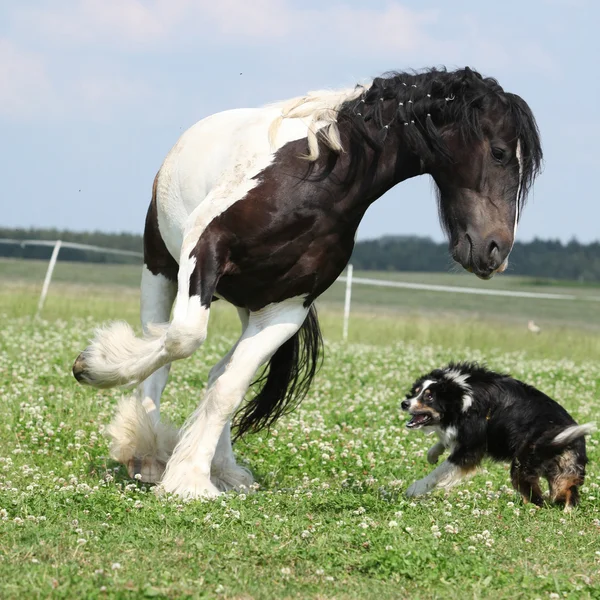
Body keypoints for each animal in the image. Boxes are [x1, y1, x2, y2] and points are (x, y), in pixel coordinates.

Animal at [71, 65, 544, 500]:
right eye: (500, 153)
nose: (495, 252)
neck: (315, 182)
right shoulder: (203, 252)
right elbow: (182, 338)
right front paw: (93, 366)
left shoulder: (285, 308)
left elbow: (229, 388)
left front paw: (192, 478)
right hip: (161, 267)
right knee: (162, 352)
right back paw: (147, 449)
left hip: (248, 304)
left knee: (218, 372)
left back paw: (223, 469)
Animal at [400, 360, 592, 510]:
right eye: (416, 392)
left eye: (429, 397)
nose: (404, 403)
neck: (460, 394)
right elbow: (445, 442)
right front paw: (433, 454)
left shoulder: (472, 445)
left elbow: (440, 471)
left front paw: (415, 488)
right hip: (560, 468)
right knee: (566, 490)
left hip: (525, 460)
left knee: (537, 496)